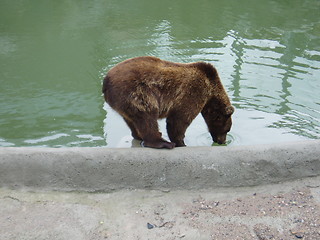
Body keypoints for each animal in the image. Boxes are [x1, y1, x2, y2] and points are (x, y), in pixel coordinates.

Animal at [101, 57, 234, 149]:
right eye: (227, 130)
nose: (222, 141)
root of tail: (106, 81)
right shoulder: (193, 92)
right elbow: (179, 120)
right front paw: (181, 143)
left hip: (123, 101)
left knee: (132, 120)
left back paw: (139, 135)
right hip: (137, 92)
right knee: (147, 116)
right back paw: (162, 142)